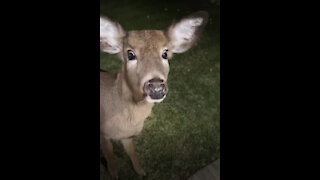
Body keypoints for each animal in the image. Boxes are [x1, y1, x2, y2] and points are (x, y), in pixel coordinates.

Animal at [100, 10, 209, 179]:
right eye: (130, 54)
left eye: (165, 53)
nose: (156, 86)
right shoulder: (103, 134)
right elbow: (109, 153)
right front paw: (113, 173)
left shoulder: (128, 136)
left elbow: (131, 151)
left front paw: (141, 171)